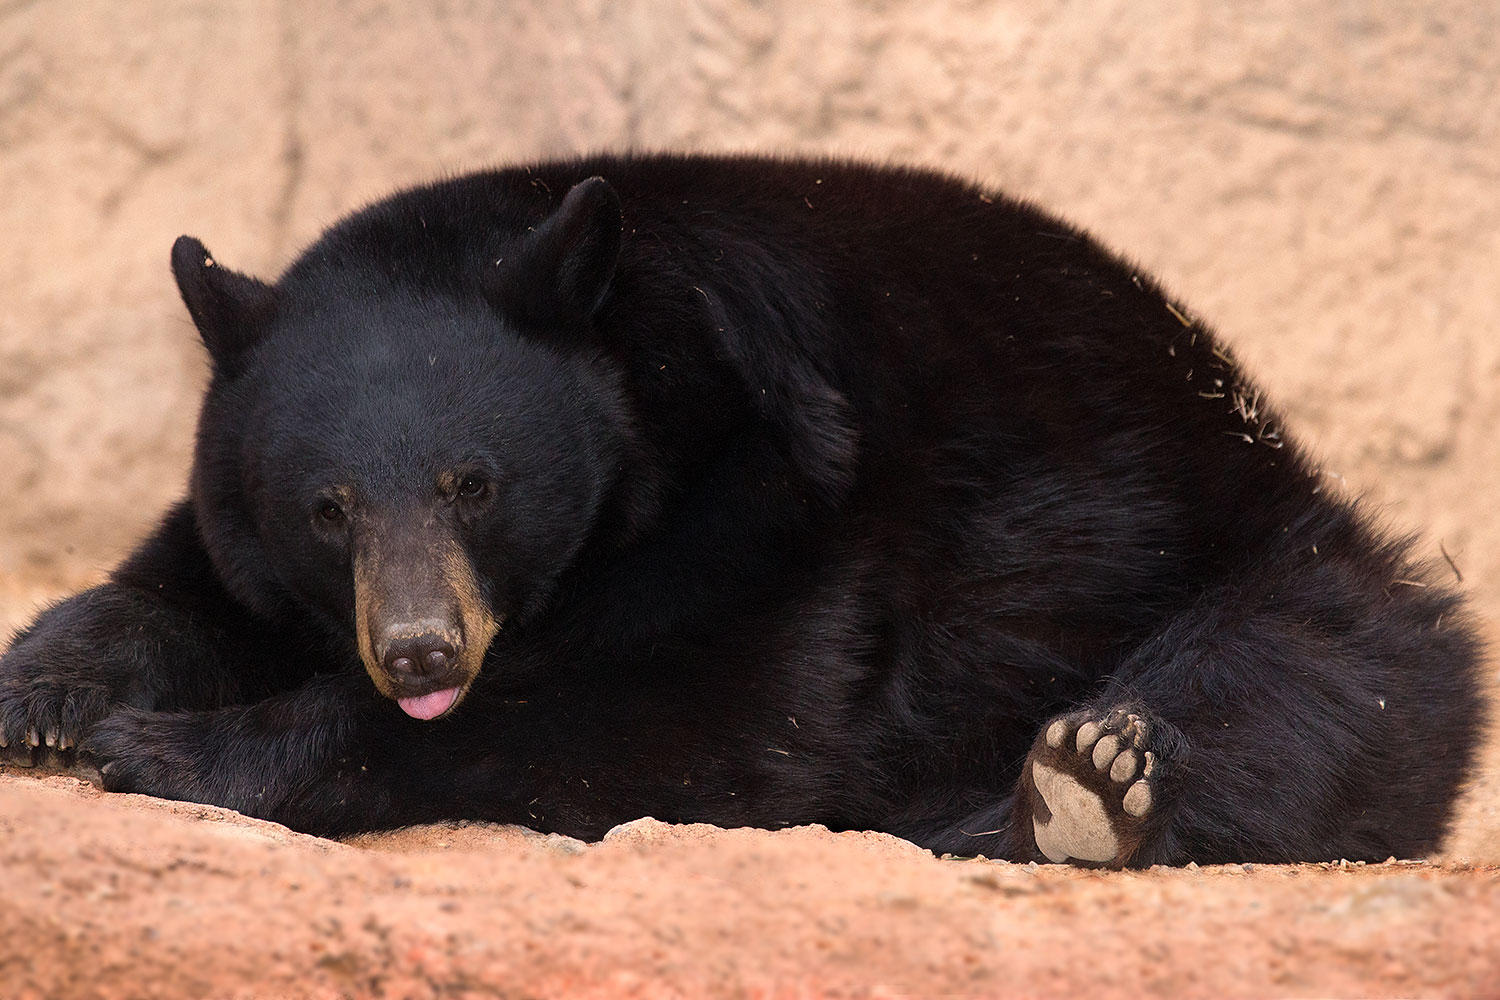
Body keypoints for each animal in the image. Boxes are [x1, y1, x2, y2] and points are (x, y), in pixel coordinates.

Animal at [0, 153, 1486, 867]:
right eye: (328, 508)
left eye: (474, 483)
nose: (420, 649)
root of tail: (1278, 449)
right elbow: (178, 586)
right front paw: (48, 695)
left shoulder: (790, 494)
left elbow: (701, 717)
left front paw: (173, 747)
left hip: (1251, 562)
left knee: (1311, 682)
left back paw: (1083, 787)